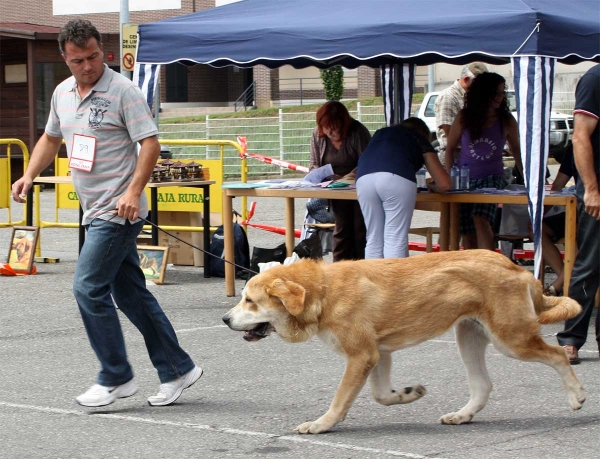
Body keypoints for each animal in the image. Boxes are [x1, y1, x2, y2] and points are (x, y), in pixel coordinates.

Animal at [221, 252, 584, 434]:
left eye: (250, 301)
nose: (225, 320)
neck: (323, 292)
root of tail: (516, 266)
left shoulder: (361, 356)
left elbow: (339, 401)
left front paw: (321, 425)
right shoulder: (377, 354)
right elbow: (382, 395)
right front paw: (408, 394)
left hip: (511, 339)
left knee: (556, 355)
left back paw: (576, 396)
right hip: (469, 336)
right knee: (483, 386)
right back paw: (462, 416)